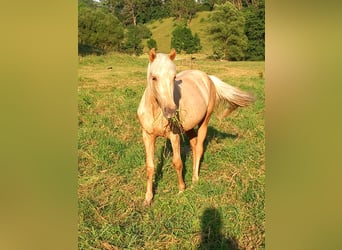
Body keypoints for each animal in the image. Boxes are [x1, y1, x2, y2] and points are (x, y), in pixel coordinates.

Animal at [138, 48, 255, 205]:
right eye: (154, 77)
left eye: (174, 77)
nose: (170, 111)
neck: (155, 111)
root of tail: (207, 77)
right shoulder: (147, 136)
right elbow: (150, 167)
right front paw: (148, 199)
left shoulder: (174, 136)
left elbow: (177, 162)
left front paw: (181, 190)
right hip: (189, 127)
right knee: (194, 145)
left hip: (204, 121)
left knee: (199, 148)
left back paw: (195, 179)